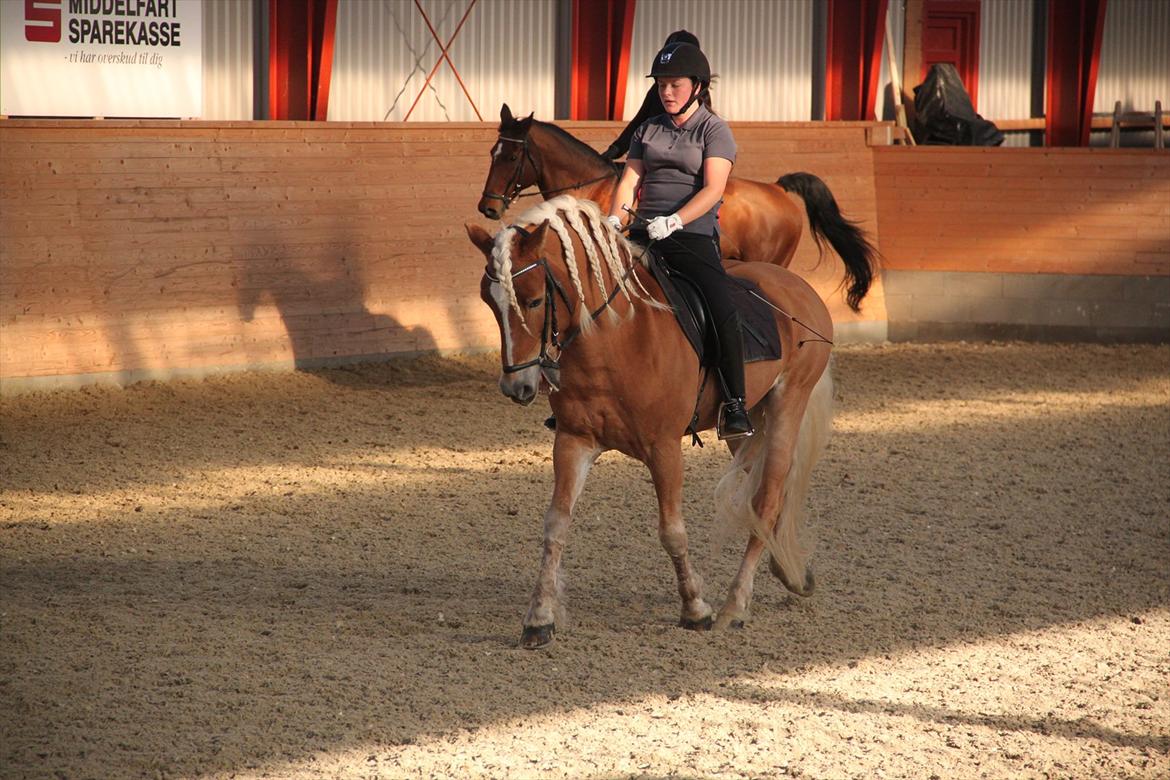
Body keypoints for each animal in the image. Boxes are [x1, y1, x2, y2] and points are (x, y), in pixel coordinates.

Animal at [460, 194, 837, 645]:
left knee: (767, 499)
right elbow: (555, 526)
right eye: (489, 302)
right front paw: (539, 619)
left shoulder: (664, 448)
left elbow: (672, 531)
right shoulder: (572, 441)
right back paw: (792, 574)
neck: (614, 340)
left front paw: (696, 610)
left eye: (533, 300)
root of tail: (798, 287)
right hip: (747, 426)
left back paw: (734, 606)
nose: (515, 386)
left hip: (787, 404)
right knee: (764, 490)